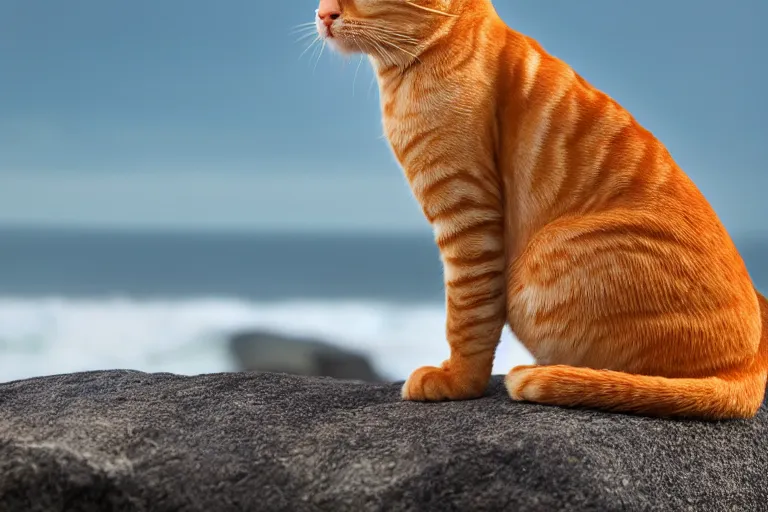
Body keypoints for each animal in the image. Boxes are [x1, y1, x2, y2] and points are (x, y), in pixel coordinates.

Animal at [314, 0, 768, 420]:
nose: (323, 13)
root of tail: (751, 361)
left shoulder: (467, 209)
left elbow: (466, 310)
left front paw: (457, 380)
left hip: (543, 261)